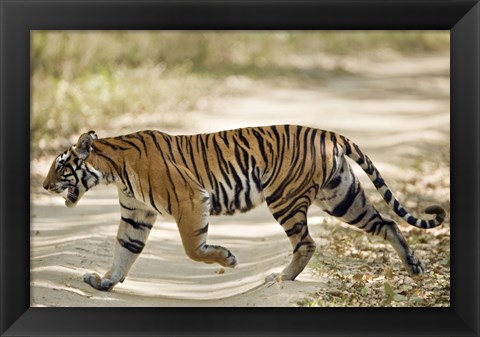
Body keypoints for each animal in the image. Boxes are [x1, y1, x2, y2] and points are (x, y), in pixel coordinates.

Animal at [42, 126, 446, 292]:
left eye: (60, 167)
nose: (43, 186)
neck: (112, 170)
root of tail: (328, 133)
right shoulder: (135, 215)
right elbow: (125, 250)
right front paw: (105, 282)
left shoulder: (191, 199)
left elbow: (192, 248)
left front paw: (228, 259)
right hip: (341, 196)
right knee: (386, 223)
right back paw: (414, 266)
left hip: (285, 197)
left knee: (307, 242)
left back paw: (282, 278)